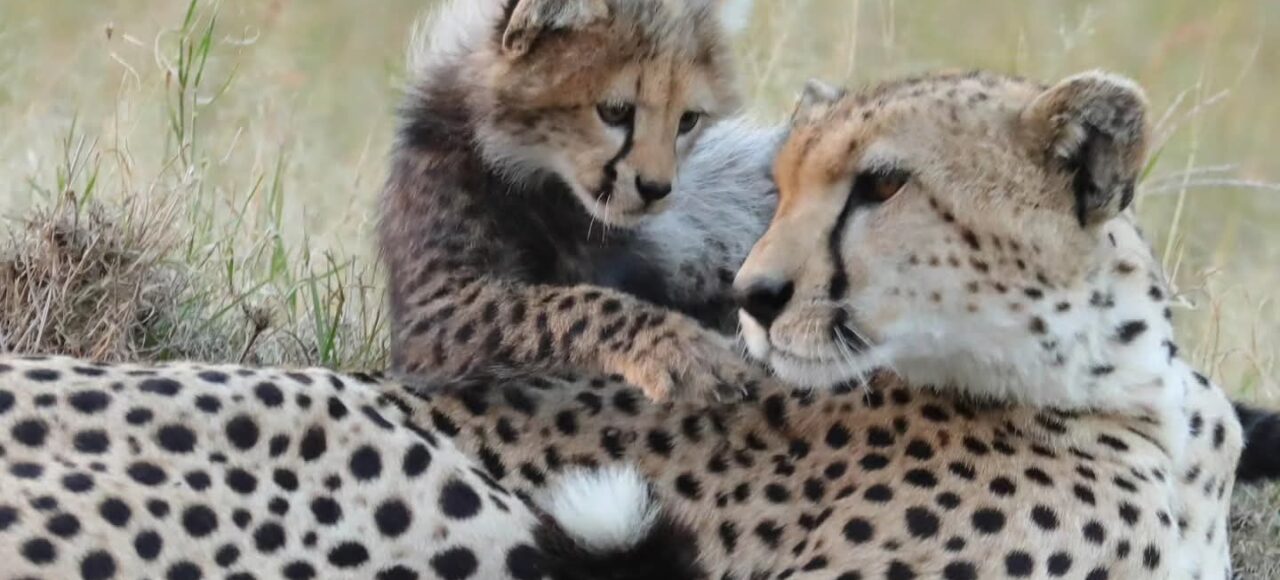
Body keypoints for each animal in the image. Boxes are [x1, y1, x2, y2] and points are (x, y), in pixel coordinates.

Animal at [380, 0, 779, 402]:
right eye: (615, 111)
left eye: (688, 120)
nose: (655, 189)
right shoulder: (436, 307)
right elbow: (559, 304)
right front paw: (682, 348)